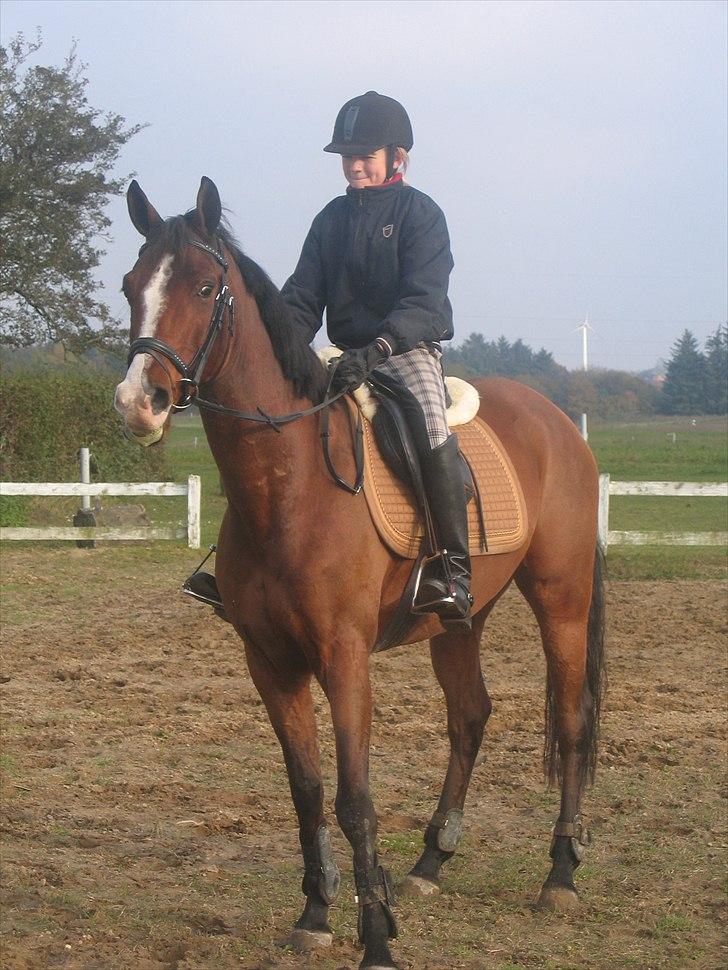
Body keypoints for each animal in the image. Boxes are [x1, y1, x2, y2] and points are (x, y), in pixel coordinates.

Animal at [114, 177, 605, 970]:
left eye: (204, 286)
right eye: (132, 286)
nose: (140, 403)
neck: (288, 488)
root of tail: (557, 421)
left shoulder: (344, 659)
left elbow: (354, 799)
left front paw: (375, 939)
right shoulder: (270, 662)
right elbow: (308, 790)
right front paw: (316, 913)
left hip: (561, 599)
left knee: (569, 721)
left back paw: (559, 875)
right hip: (460, 618)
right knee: (470, 716)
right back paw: (430, 865)